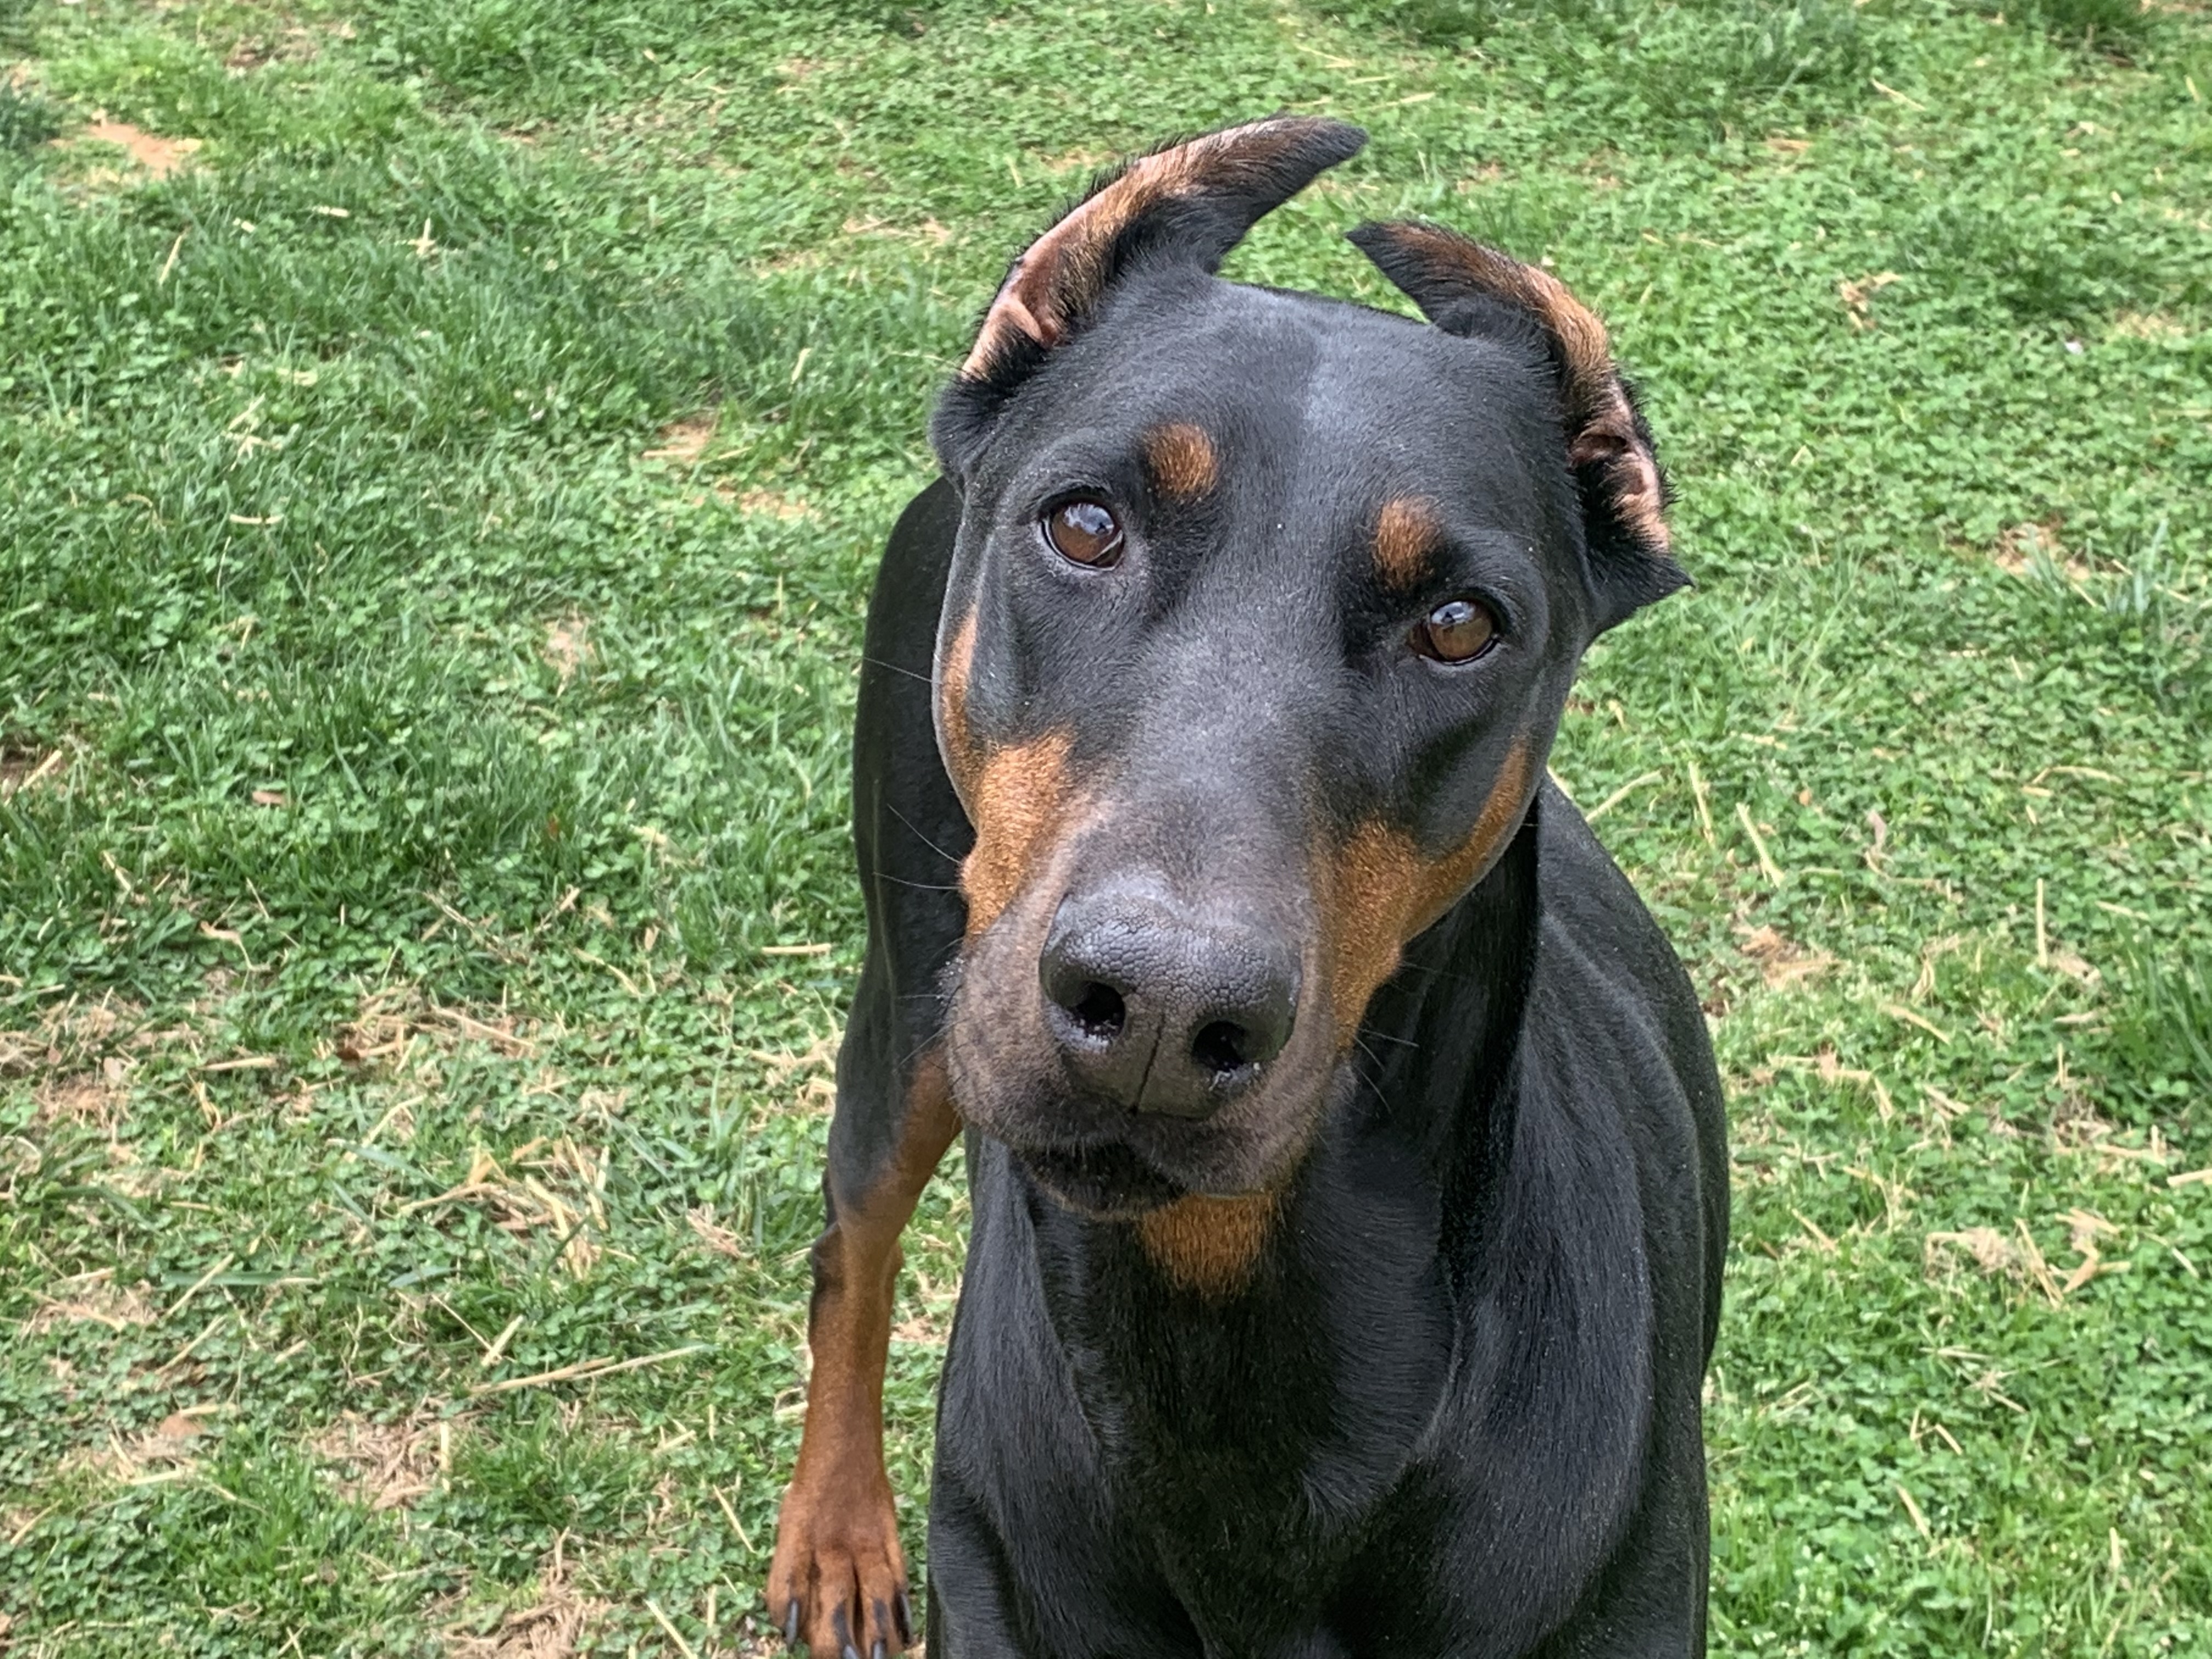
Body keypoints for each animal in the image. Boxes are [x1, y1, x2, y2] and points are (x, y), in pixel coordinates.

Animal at [770, 120, 1734, 1659]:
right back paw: (838, 1534)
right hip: (913, 996)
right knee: (849, 1251)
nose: (1163, 1013)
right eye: (1085, 526)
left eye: (1460, 624)